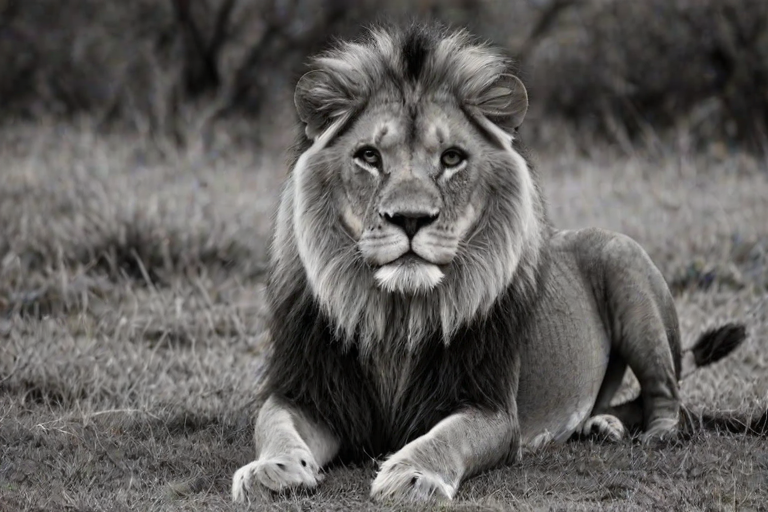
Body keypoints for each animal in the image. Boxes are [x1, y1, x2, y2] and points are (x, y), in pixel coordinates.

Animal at [231, 24, 747, 503]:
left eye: (452, 158)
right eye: (369, 156)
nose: (410, 218)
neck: (398, 316)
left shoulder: (491, 407)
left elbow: (447, 437)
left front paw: (412, 475)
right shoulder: (307, 392)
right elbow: (273, 424)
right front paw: (271, 470)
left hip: (626, 264)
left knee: (667, 396)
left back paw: (655, 436)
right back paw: (601, 426)